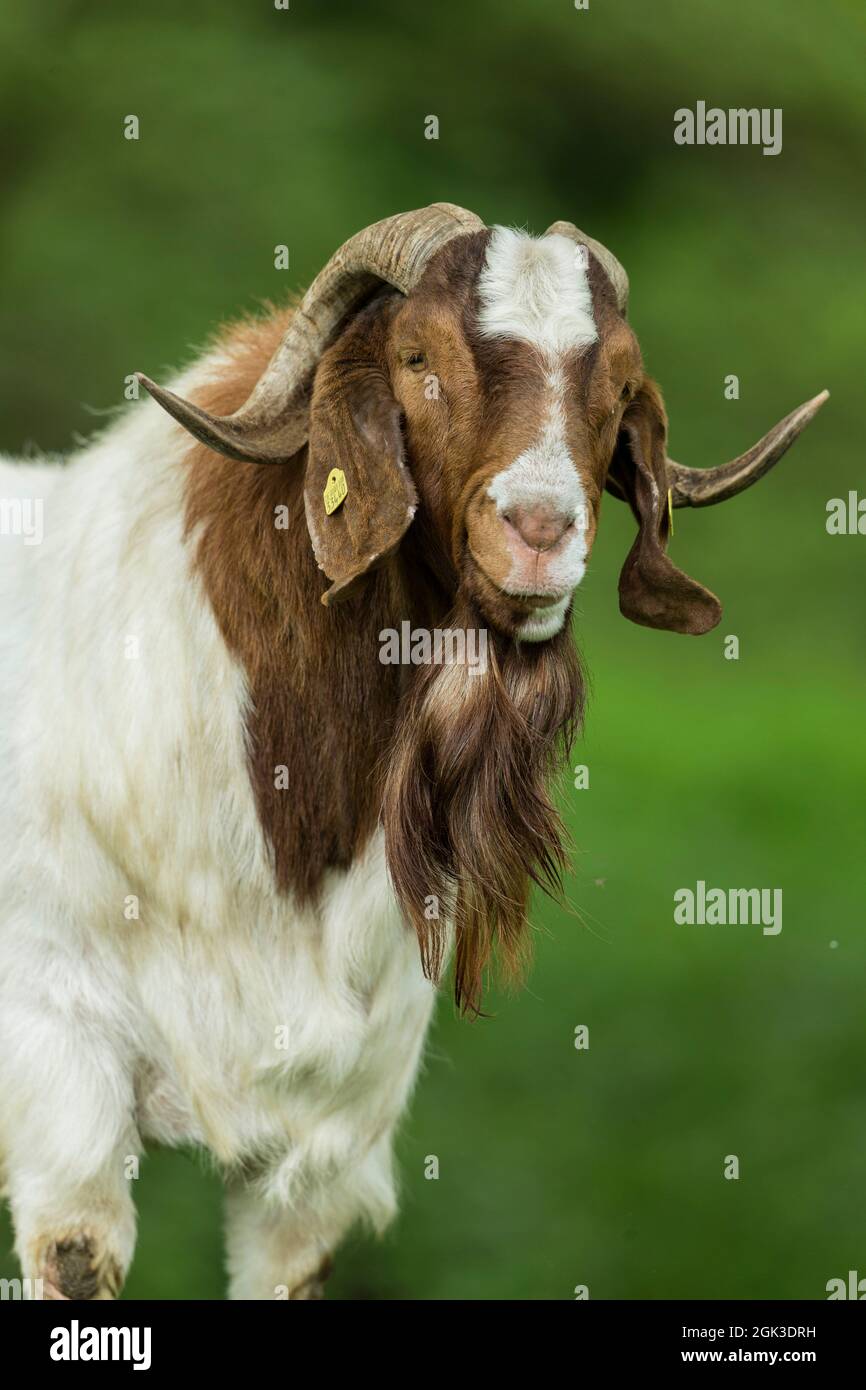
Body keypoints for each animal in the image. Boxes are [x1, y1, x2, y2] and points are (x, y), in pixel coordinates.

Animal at [0, 201, 828, 1295]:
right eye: (414, 356)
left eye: (617, 384)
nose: (539, 532)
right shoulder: (58, 1074)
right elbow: (79, 1258)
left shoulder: (332, 1122)